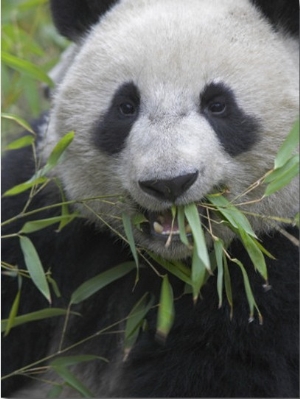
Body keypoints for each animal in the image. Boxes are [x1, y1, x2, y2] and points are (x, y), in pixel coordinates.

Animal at [1, 0, 298, 398]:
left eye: (218, 105)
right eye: (126, 106)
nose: (169, 182)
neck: (174, 264)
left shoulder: (268, 278)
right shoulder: (45, 222)